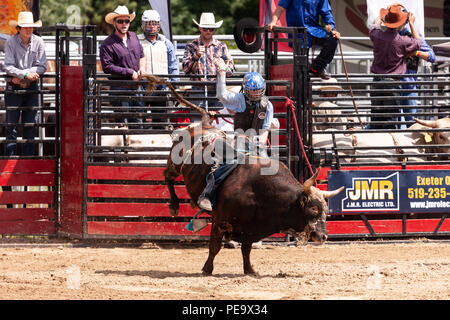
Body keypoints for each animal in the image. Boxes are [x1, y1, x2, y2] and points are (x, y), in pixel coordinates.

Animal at [142, 74, 342, 274]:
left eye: (326, 210)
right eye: (313, 209)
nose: (324, 236)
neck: (260, 193)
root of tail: (205, 123)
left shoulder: (251, 229)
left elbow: (246, 249)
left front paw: (249, 270)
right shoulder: (220, 221)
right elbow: (215, 246)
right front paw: (207, 268)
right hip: (175, 162)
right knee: (167, 176)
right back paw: (174, 205)